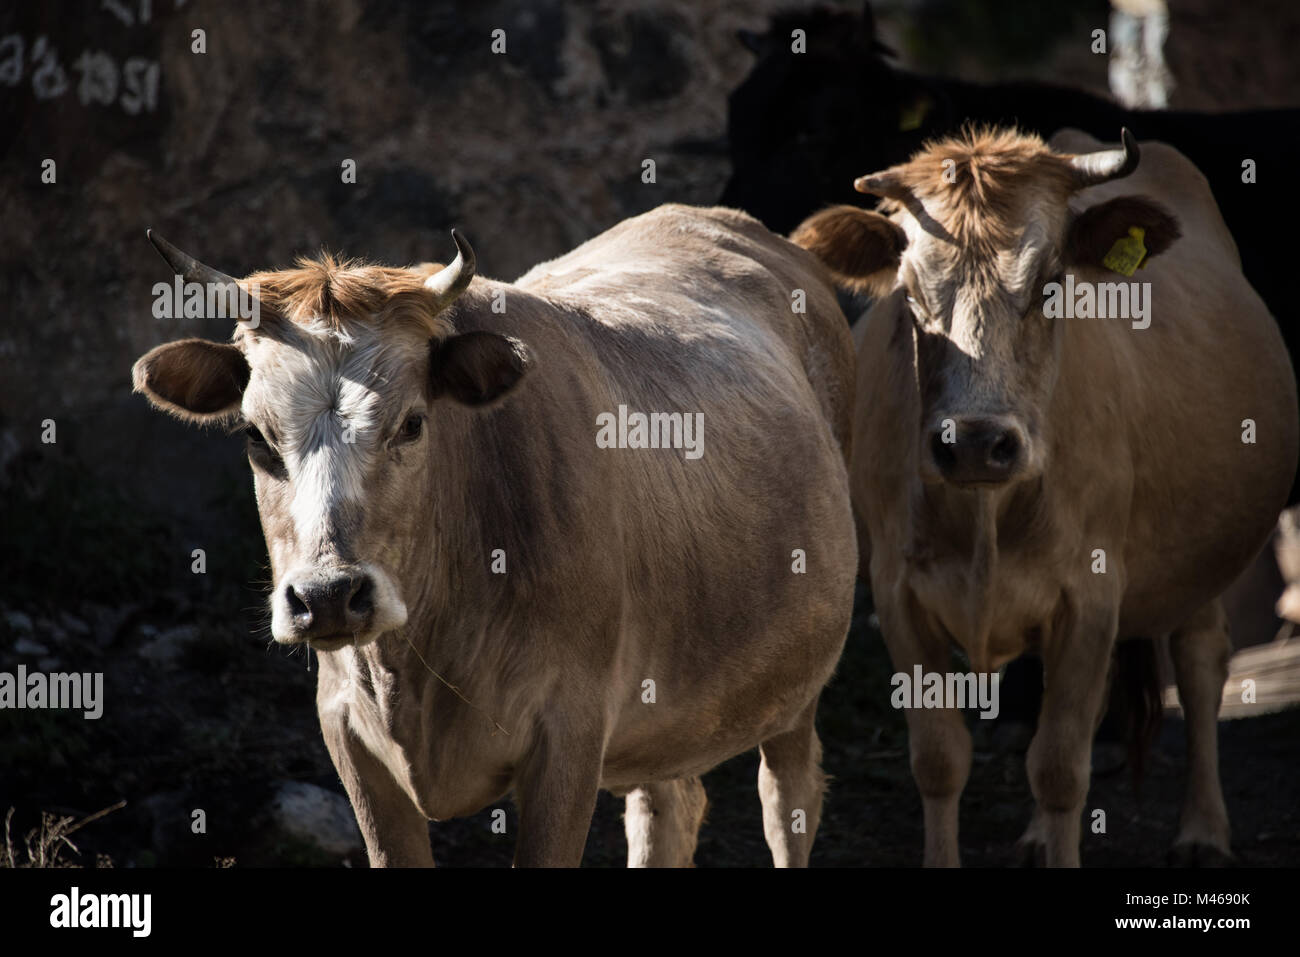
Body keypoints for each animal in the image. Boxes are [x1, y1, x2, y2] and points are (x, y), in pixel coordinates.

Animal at [129, 204, 863, 868]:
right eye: (256, 435)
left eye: (412, 423)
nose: (330, 596)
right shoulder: (348, 737)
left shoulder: (569, 737)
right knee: (667, 810)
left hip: (796, 681)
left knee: (788, 803)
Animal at [790, 127, 1300, 868]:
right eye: (909, 295)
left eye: (1050, 282)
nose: (975, 442)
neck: (984, 513)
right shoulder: (898, 590)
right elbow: (940, 758)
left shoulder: (1090, 594)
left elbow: (1060, 767)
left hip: (1210, 554)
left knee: (1202, 658)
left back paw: (1203, 830)